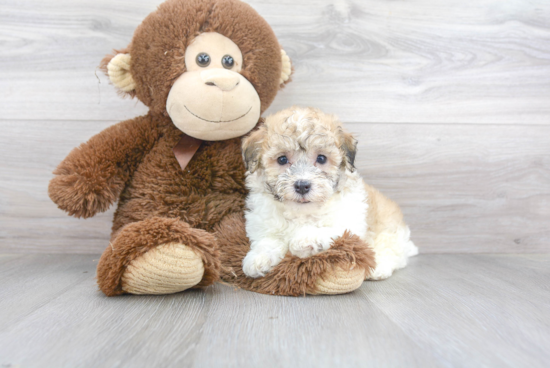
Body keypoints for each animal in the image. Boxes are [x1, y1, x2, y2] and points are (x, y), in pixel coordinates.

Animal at [242, 106, 418, 278]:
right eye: (282, 159)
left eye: (321, 158)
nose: (302, 185)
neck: (302, 212)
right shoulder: (264, 224)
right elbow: (267, 241)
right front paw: (258, 259)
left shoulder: (350, 224)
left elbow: (329, 230)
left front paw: (303, 240)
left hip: (390, 232)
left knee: (394, 254)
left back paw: (380, 268)